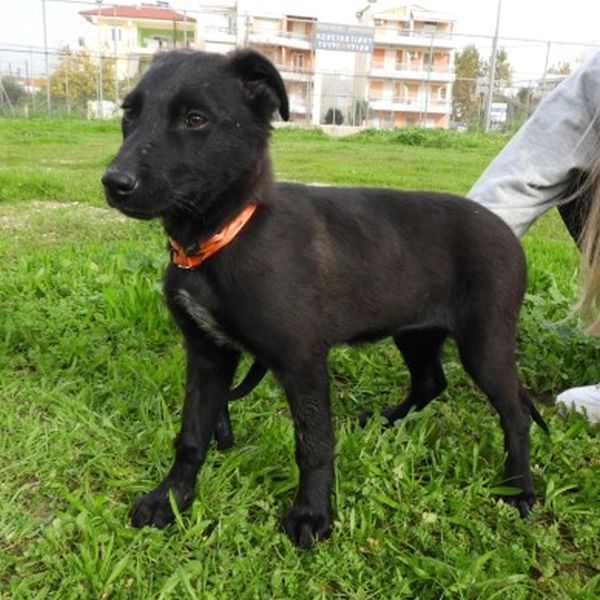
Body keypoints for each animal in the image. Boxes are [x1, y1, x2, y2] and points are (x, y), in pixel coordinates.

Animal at [102, 48, 547, 548]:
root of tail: (506, 231)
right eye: (129, 114)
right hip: (416, 331)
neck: (223, 235)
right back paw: (386, 423)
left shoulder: (301, 359)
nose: (113, 182)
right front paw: (172, 498)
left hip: (484, 341)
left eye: (195, 119)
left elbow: (313, 444)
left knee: (515, 415)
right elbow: (192, 435)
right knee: (431, 382)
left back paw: (518, 488)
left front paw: (311, 515)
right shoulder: (206, 353)